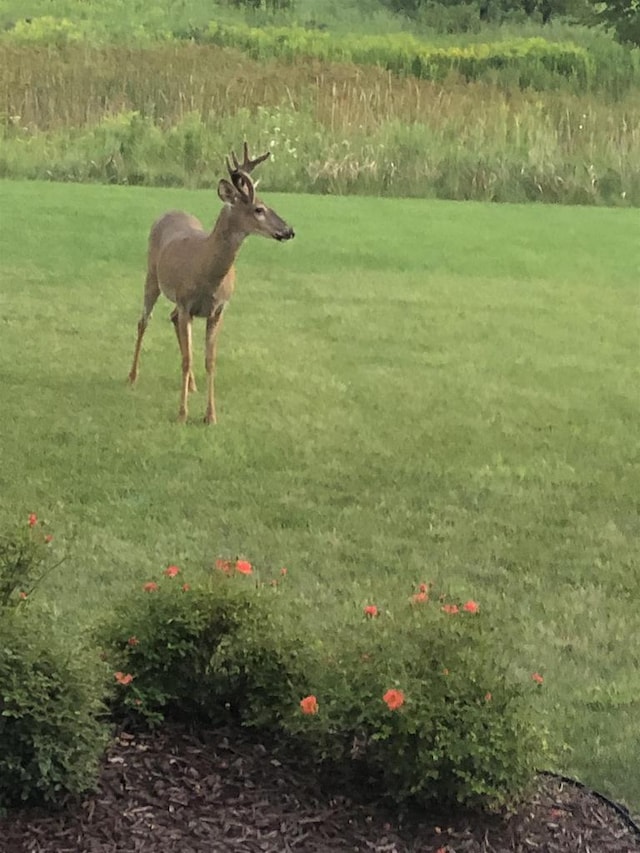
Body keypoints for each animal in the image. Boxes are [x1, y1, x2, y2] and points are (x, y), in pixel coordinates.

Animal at [127, 145, 296, 426]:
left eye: (268, 204)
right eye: (259, 209)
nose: (289, 230)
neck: (207, 272)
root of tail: (169, 211)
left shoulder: (218, 309)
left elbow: (210, 360)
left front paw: (210, 415)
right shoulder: (186, 303)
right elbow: (186, 359)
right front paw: (182, 414)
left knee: (171, 318)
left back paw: (192, 385)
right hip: (152, 276)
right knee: (143, 321)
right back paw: (132, 376)